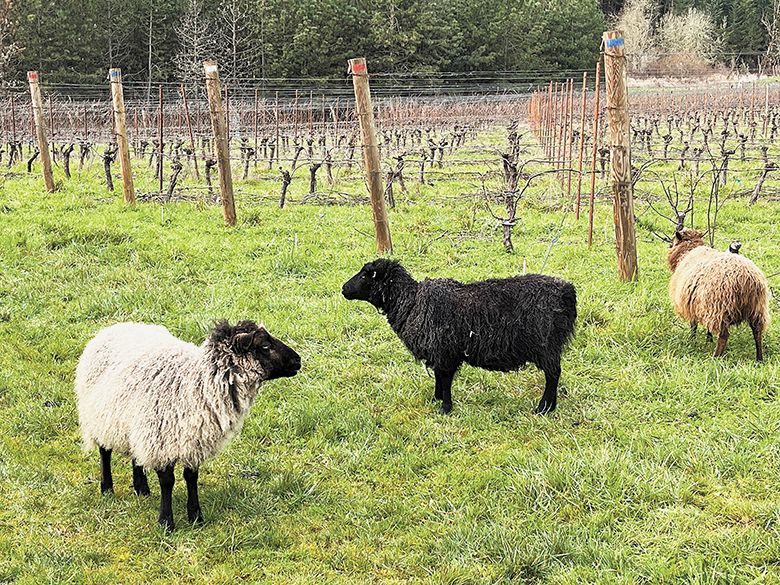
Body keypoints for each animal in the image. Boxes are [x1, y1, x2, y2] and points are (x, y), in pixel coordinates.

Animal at [75, 320, 302, 528]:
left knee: (135, 454)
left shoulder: (193, 440)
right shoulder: (162, 441)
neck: (198, 383)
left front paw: (196, 517)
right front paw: (166, 522)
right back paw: (107, 488)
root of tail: (114, 327)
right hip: (100, 416)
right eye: (265, 346)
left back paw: (142, 489)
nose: (298, 360)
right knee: (104, 451)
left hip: (133, 424)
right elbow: (168, 482)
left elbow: (191, 477)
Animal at [344, 258, 576, 412]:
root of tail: (567, 291)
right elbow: (439, 377)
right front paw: (436, 399)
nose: (343, 288)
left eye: (365, 275)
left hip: (546, 345)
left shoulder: (445, 351)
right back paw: (550, 406)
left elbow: (445, 379)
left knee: (553, 375)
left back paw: (544, 408)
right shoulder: (439, 353)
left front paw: (445, 408)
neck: (412, 303)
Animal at [668, 229, 772, 360]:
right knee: (757, 332)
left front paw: (692, 339)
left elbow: (693, 325)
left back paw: (715, 357)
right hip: (758, 308)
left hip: (720, 308)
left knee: (724, 335)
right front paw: (708, 339)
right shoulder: (702, 305)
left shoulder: (691, 304)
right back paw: (759, 359)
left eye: (673, 240)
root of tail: (746, 279)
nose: (669, 246)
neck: (688, 251)